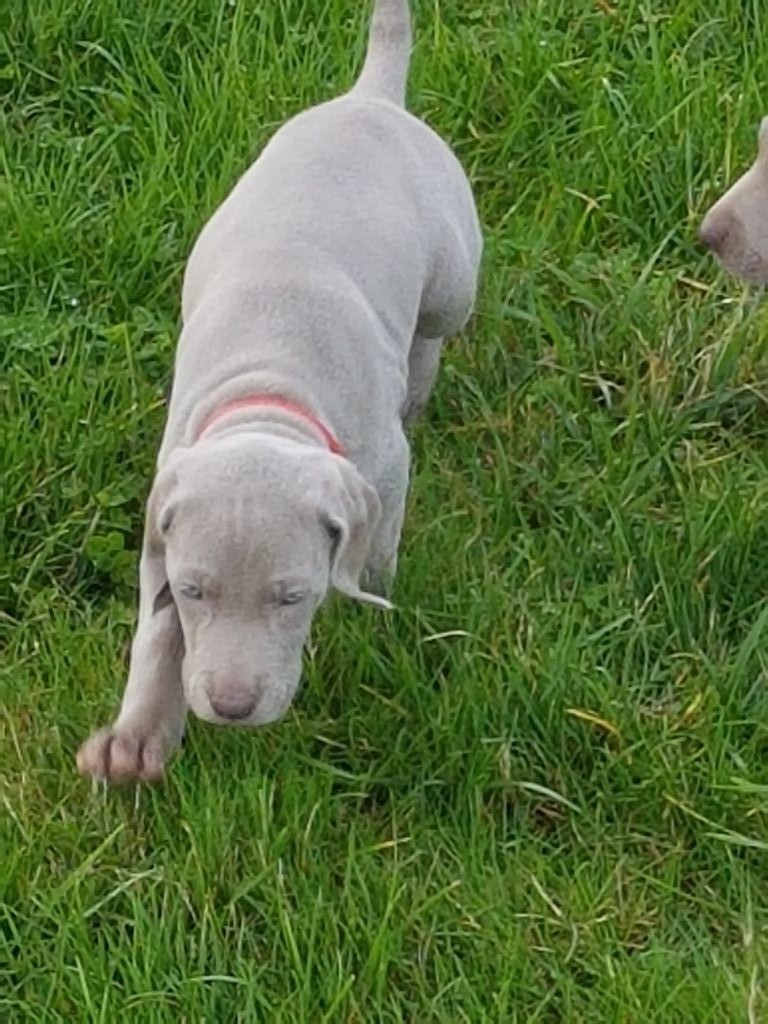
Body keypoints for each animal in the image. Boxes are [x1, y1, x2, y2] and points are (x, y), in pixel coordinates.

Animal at [76, 0, 482, 783]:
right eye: (196, 591)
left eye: (292, 596)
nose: (231, 709)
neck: (271, 394)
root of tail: (371, 99)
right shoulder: (166, 505)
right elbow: (156, 628)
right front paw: (137, 736)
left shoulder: (384, 469)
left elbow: (375, 555)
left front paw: (369, 613)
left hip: (455, 275)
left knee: (432, 331)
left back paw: (418, 384)